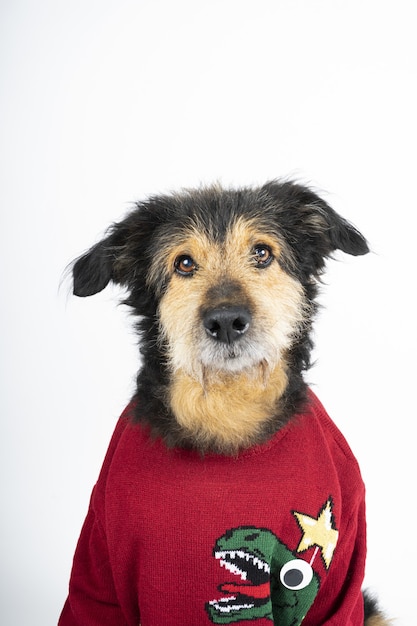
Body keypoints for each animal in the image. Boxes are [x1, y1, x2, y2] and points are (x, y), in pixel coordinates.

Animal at [60, 180, 388, 624]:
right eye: (184, 263)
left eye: (262, 253)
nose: (227, 321)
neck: (228, 412)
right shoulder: (100, 566)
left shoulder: (341, 569)